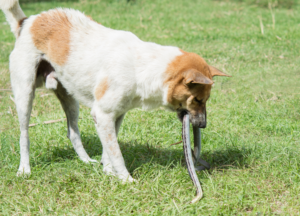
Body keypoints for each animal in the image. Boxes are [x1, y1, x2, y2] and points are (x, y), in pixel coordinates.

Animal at [0, 0, 230, 182]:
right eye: (198, 100)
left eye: (204, 100)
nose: (203, 125)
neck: (142, 67)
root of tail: (27, 22)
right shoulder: (103, 114)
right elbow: (116, 152)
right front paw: (126, 180)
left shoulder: (116, 115)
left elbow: (108, 148)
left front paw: (109, 172)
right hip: (25, 92)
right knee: (24, 134)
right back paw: (24, 169)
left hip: (70, 98)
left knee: (72, 131)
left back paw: (86, 161)